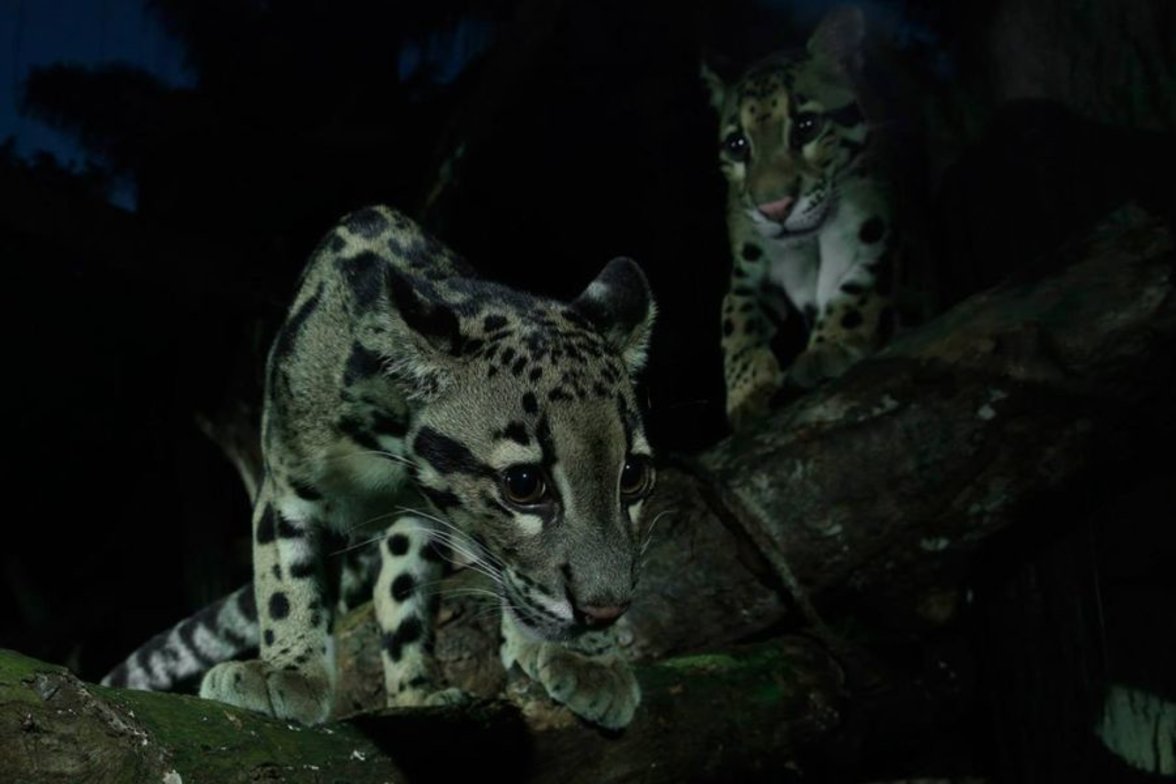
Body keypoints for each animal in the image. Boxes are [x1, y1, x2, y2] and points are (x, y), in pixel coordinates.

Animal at [102, 205, 657, 731]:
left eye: (633, 476)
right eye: (524, 484)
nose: (606, 611)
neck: (390, 455)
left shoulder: (421, 523)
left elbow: (412, 601)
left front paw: (583, 659)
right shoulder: (285, 478)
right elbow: (284, 575)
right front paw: (288, 671)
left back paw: (419, 694)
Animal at [704, 7, 902, 428]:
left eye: (807, 126)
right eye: (737, 144)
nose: (775, 209)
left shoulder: (878, 231)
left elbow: (860, 290)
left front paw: (829, 349)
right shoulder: (748, 266)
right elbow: (736, 317)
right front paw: (747, 390)